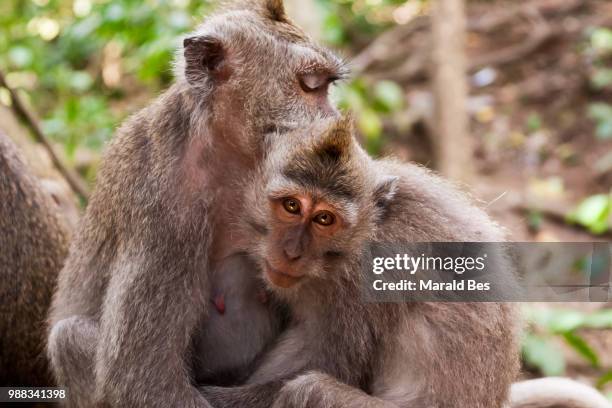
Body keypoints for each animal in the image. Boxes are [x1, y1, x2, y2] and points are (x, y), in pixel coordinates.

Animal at [46, 1, 346, 406]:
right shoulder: (163, 206)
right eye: (310, 86)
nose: (337, 125)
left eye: (325, 86)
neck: (231, 157)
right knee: (69, 337)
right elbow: (143, 376)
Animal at [203, 115, 520, 408]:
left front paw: (214, 396)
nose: (291, 252)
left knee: (307, 390)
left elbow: (333, 364)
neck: (365, 234)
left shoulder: (365, 282)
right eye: (292, 205)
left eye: (324, 218)